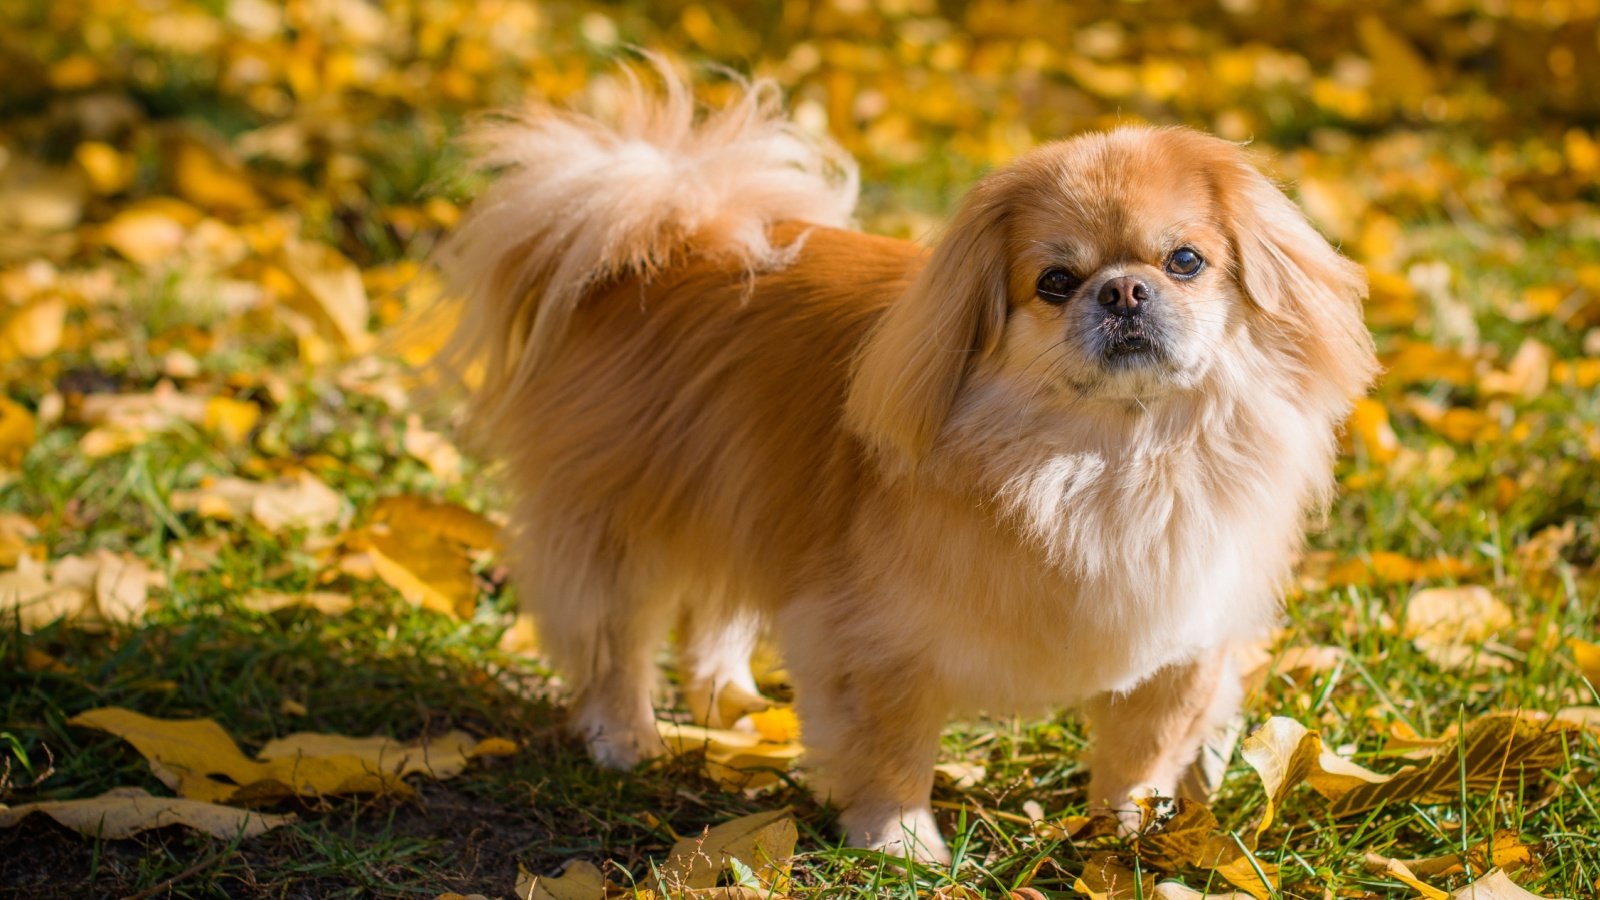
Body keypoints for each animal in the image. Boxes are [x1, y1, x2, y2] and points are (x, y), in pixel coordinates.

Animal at [438, 66, 1376, 858]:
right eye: (1056, 282)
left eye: (1185, 261)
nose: (1124, 289)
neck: (1107, 461)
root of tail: (678, 238)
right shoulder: (876, 641)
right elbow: (891, 751)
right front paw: (900, 843)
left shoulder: (1184, 640)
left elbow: (1140, 752)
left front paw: (1126, 837)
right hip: (625, 523)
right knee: (616, 639)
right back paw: (625, 738)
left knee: (713, 614)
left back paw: (730, 703)